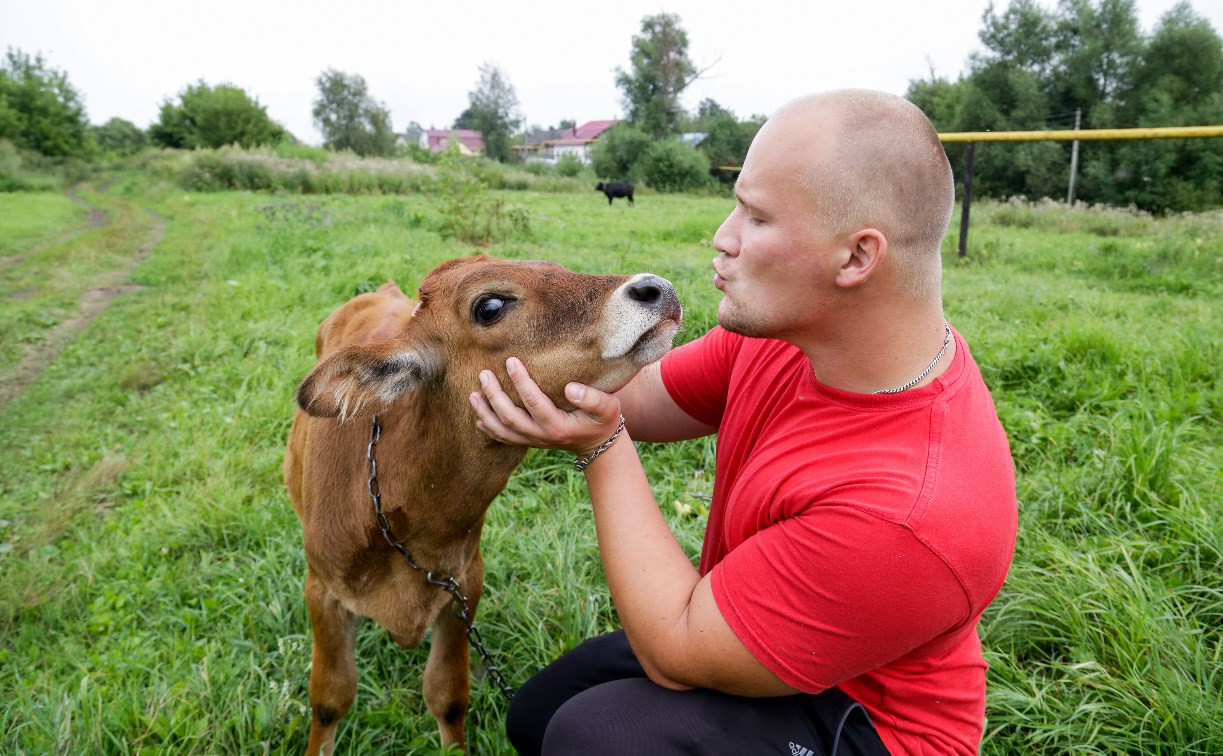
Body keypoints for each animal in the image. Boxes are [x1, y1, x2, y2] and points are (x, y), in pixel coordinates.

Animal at [282, 255, 684, 748]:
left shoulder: (465, 581)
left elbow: (448, 694)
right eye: (490, 306)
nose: (656, 288)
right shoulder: (322, 589)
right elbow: (329, 698)